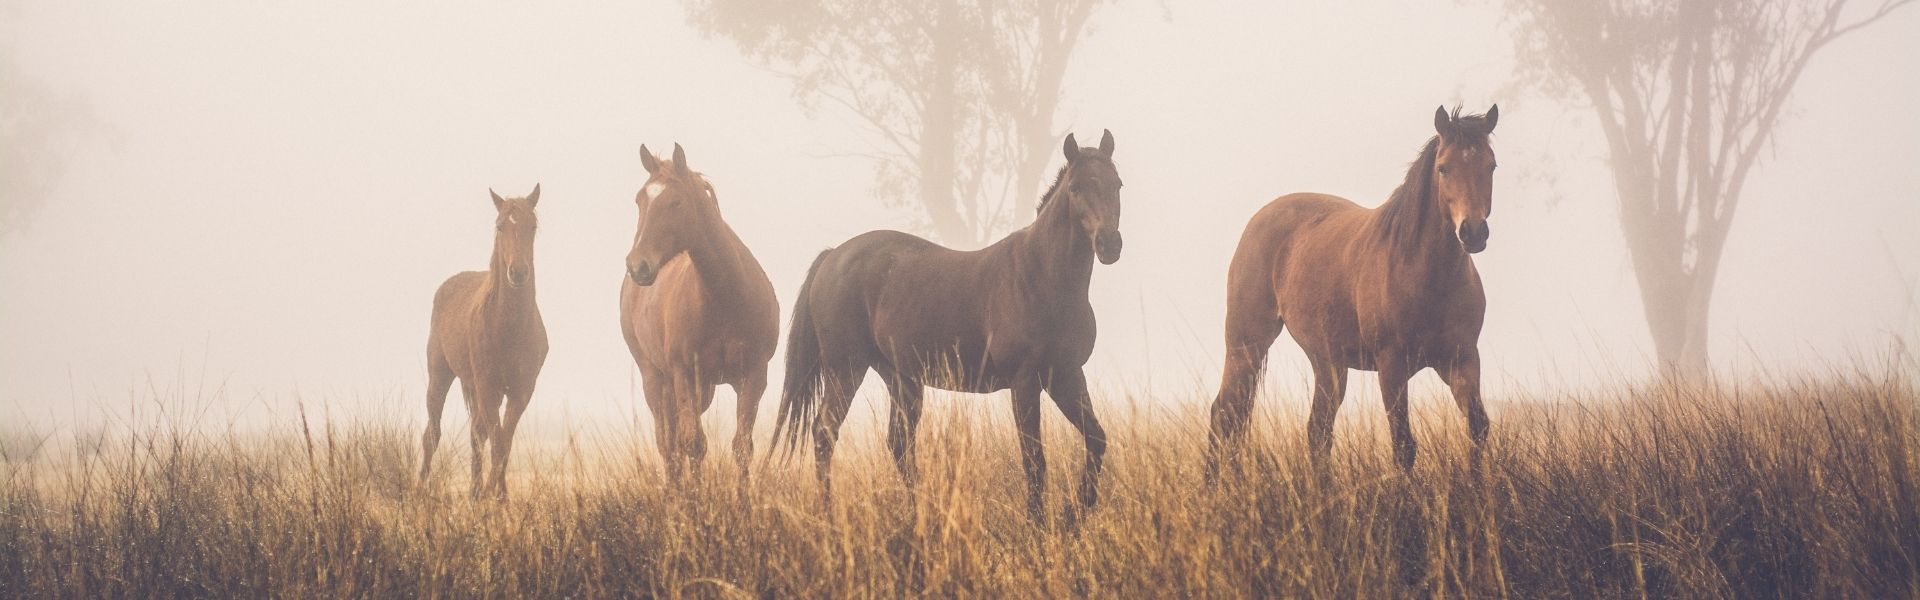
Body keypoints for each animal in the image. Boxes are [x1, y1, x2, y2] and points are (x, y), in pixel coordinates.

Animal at [421, 184, 550, 499]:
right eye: (500, 225)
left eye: (532, 226)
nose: (518, 272)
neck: (508, 328)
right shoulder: (488, 387)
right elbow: (499, 441)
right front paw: (496, 495)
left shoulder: (521, 391)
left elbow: (504, 442)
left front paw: (497, 494)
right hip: (440, 377)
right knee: (432, 434)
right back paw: (419, 490)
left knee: (476, 434)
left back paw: (475, 491)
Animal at [621, 143, 780, 489]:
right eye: (640, 200)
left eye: (675, 202)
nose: (638, 265)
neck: (725, 298)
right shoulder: (684, 375)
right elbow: (692, 443)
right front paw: (695, 499)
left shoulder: (753, 376)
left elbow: (741, 447)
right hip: (656, 380)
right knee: (668, 445)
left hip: (703, 390)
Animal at [776, 131, 1124, 523]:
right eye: (1076, 188)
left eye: (1117, 184)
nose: (1109, 245)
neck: (1042, 278)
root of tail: (832, 257)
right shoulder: (1025, 382)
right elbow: (1034, 459)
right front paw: (1038, 523)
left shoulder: (1066, 375)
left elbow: (1096, 439)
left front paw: (1074, 512)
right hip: (846, 368)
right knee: (825, 433)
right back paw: (829, 517)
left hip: (900, 378)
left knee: (899, 444)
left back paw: (924, 515)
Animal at [1208, 105, 1499, 476]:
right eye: (1443, 167)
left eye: (1491, 165)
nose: (1473, 233)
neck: (1426, 275)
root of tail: (1259, 219)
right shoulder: (1392, 367)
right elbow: (1403, 446)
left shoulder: (1461, 361)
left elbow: (1477, 428)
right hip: (1246, 344)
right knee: (1223, 414)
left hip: (1326, 362)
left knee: (1317, 431)